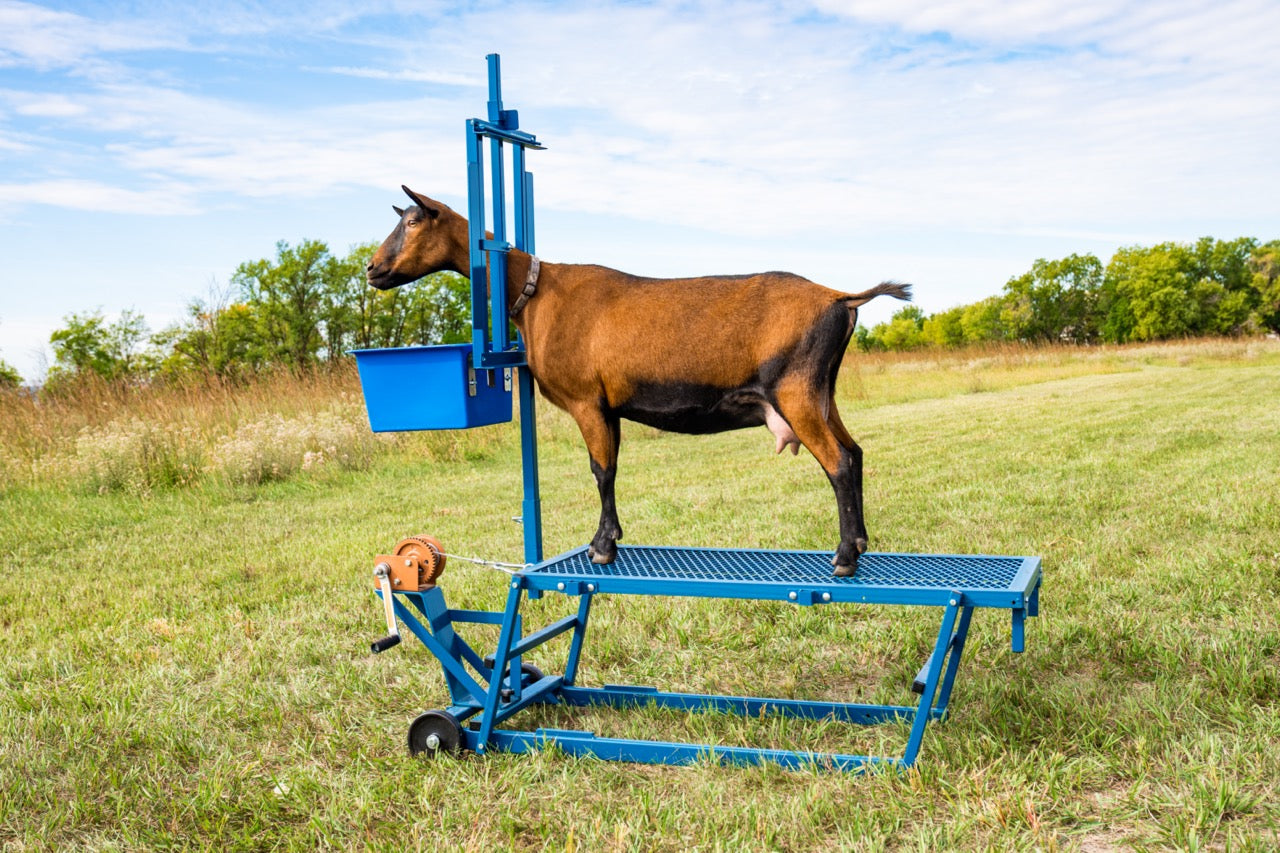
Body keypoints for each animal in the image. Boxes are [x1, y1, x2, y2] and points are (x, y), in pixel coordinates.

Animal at [367, 186, 911, 576]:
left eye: (412, 221)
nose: (372, 269)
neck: (535, 292)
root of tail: (840, 297)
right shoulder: (609, 406)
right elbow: (609, 468)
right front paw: (608, 539)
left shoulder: (587, 401)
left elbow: (601, 471)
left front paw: (601, 546)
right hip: (822, 393)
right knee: (856, 452)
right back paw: (860, 542)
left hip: (795, 391)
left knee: (838, 462)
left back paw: (844, 557)